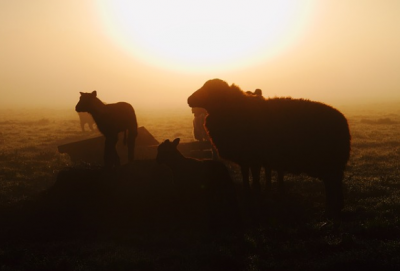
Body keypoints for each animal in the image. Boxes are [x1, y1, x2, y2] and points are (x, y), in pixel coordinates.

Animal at [188, 79, 350, 219]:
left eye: (209, 89)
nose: (189, 100)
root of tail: (343, 121)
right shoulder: (246, 159)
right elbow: (246, 177)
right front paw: (249, 194)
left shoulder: (254, 159)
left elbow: (255, 179)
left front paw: (257, 196)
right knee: (332, 185)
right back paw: (334, 209)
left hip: (330, 163)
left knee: (333, 185)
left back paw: (330, 210)